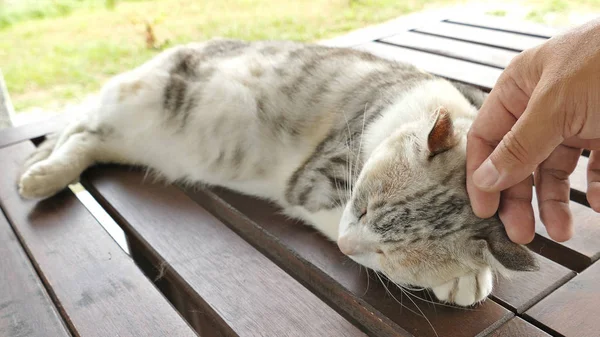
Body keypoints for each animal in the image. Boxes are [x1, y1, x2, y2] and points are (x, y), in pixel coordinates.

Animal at [17, 38, 540, 306]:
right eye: (360, 205)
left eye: (390, 255)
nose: (347, 246)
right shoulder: (317, 183)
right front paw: (463, 278)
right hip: (135, 101)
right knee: (77, 130)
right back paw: (37, 175)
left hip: (130, 138)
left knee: (87, 139)